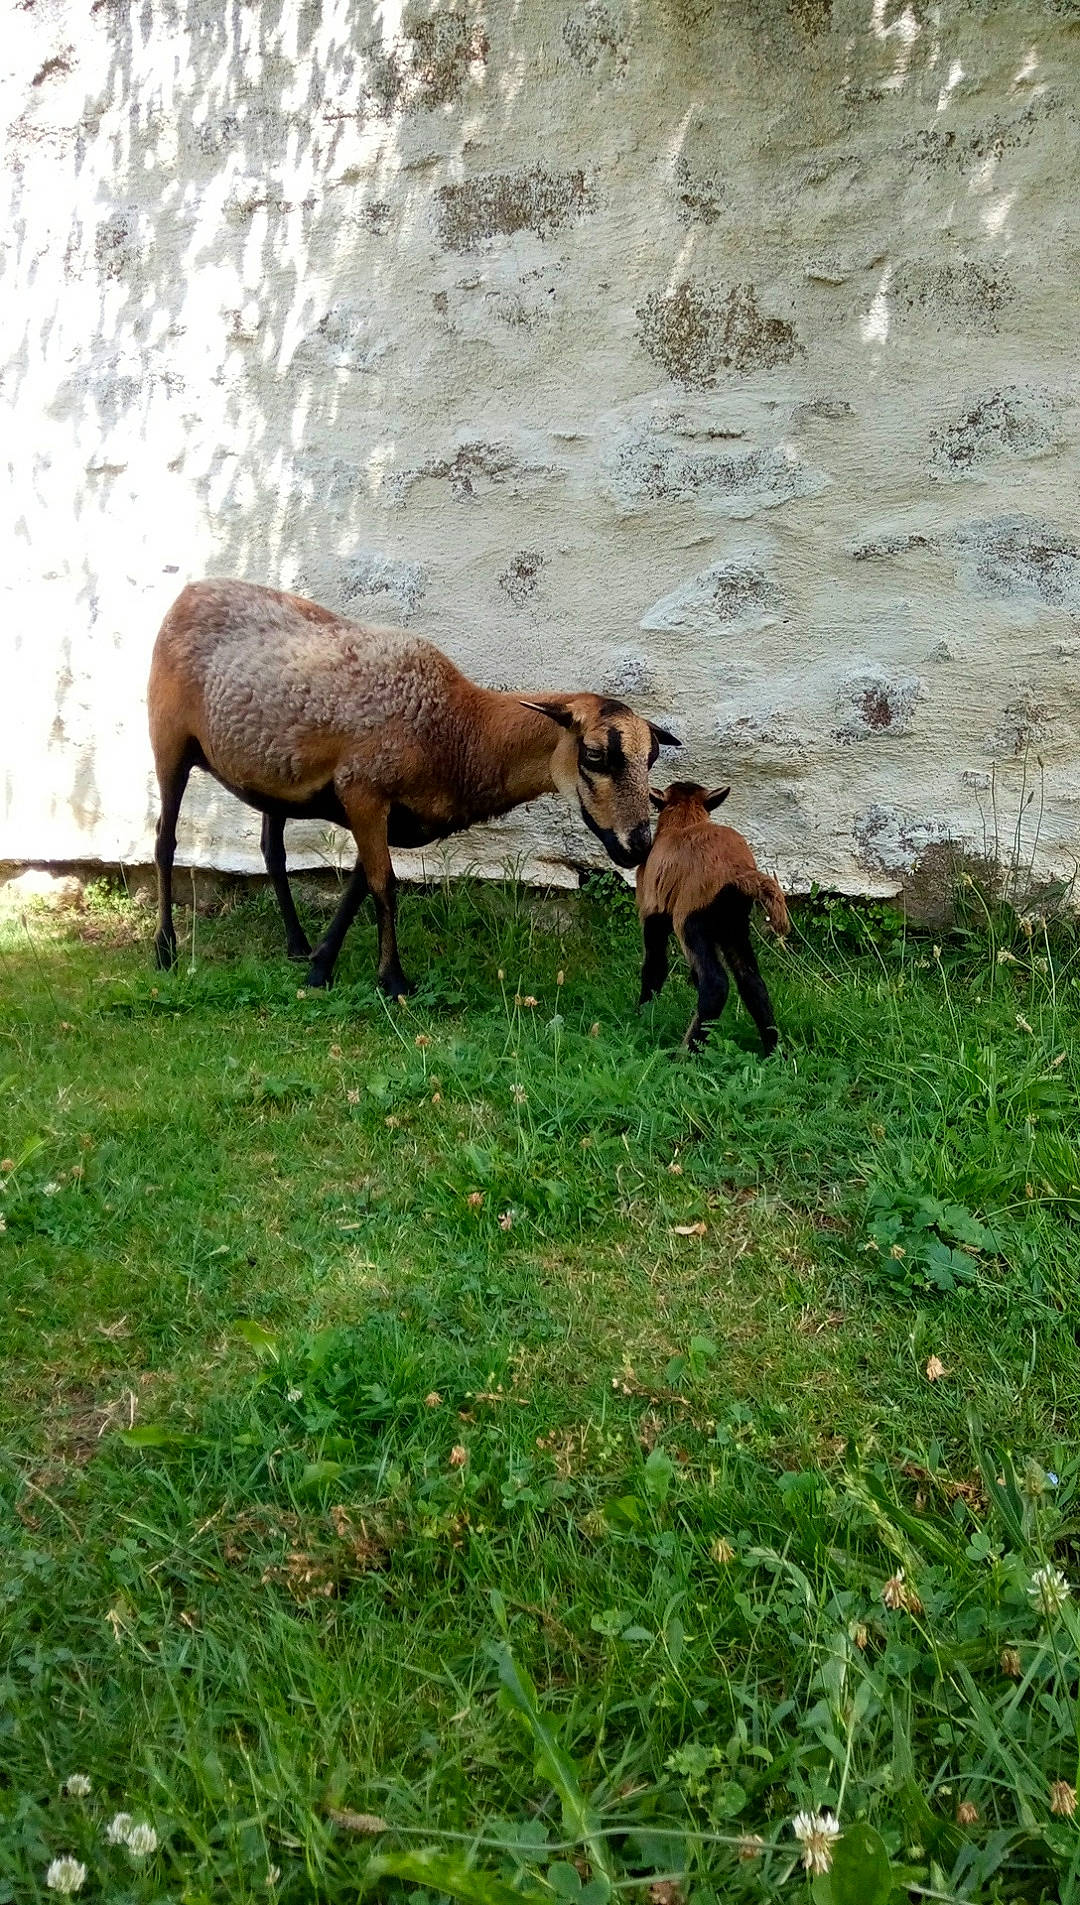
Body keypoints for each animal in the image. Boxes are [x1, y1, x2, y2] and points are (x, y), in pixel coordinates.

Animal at [147, 578, 680, 995]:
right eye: (594, 756)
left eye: (652, 757)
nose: (639, 844)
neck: (462, 734)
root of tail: (189, 591)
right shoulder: (363, 789)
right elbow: (384, 885)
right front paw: (393, 981)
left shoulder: (388, 811)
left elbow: (359, 886)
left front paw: (320, 965)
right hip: (169, 741)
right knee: (165, 841)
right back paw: (165, 950)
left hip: (273, 774)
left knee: (271, 850)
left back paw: (296, 944)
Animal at [636, 781, 790, 1053]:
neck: (683, 822)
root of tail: (739, 872)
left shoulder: (653, 912)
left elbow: (655, 966)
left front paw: (642, 1017)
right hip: (733, 927)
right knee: (752, 982)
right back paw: (773, 1053)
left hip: (691, 921)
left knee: (715, 984)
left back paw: (686, 1052)